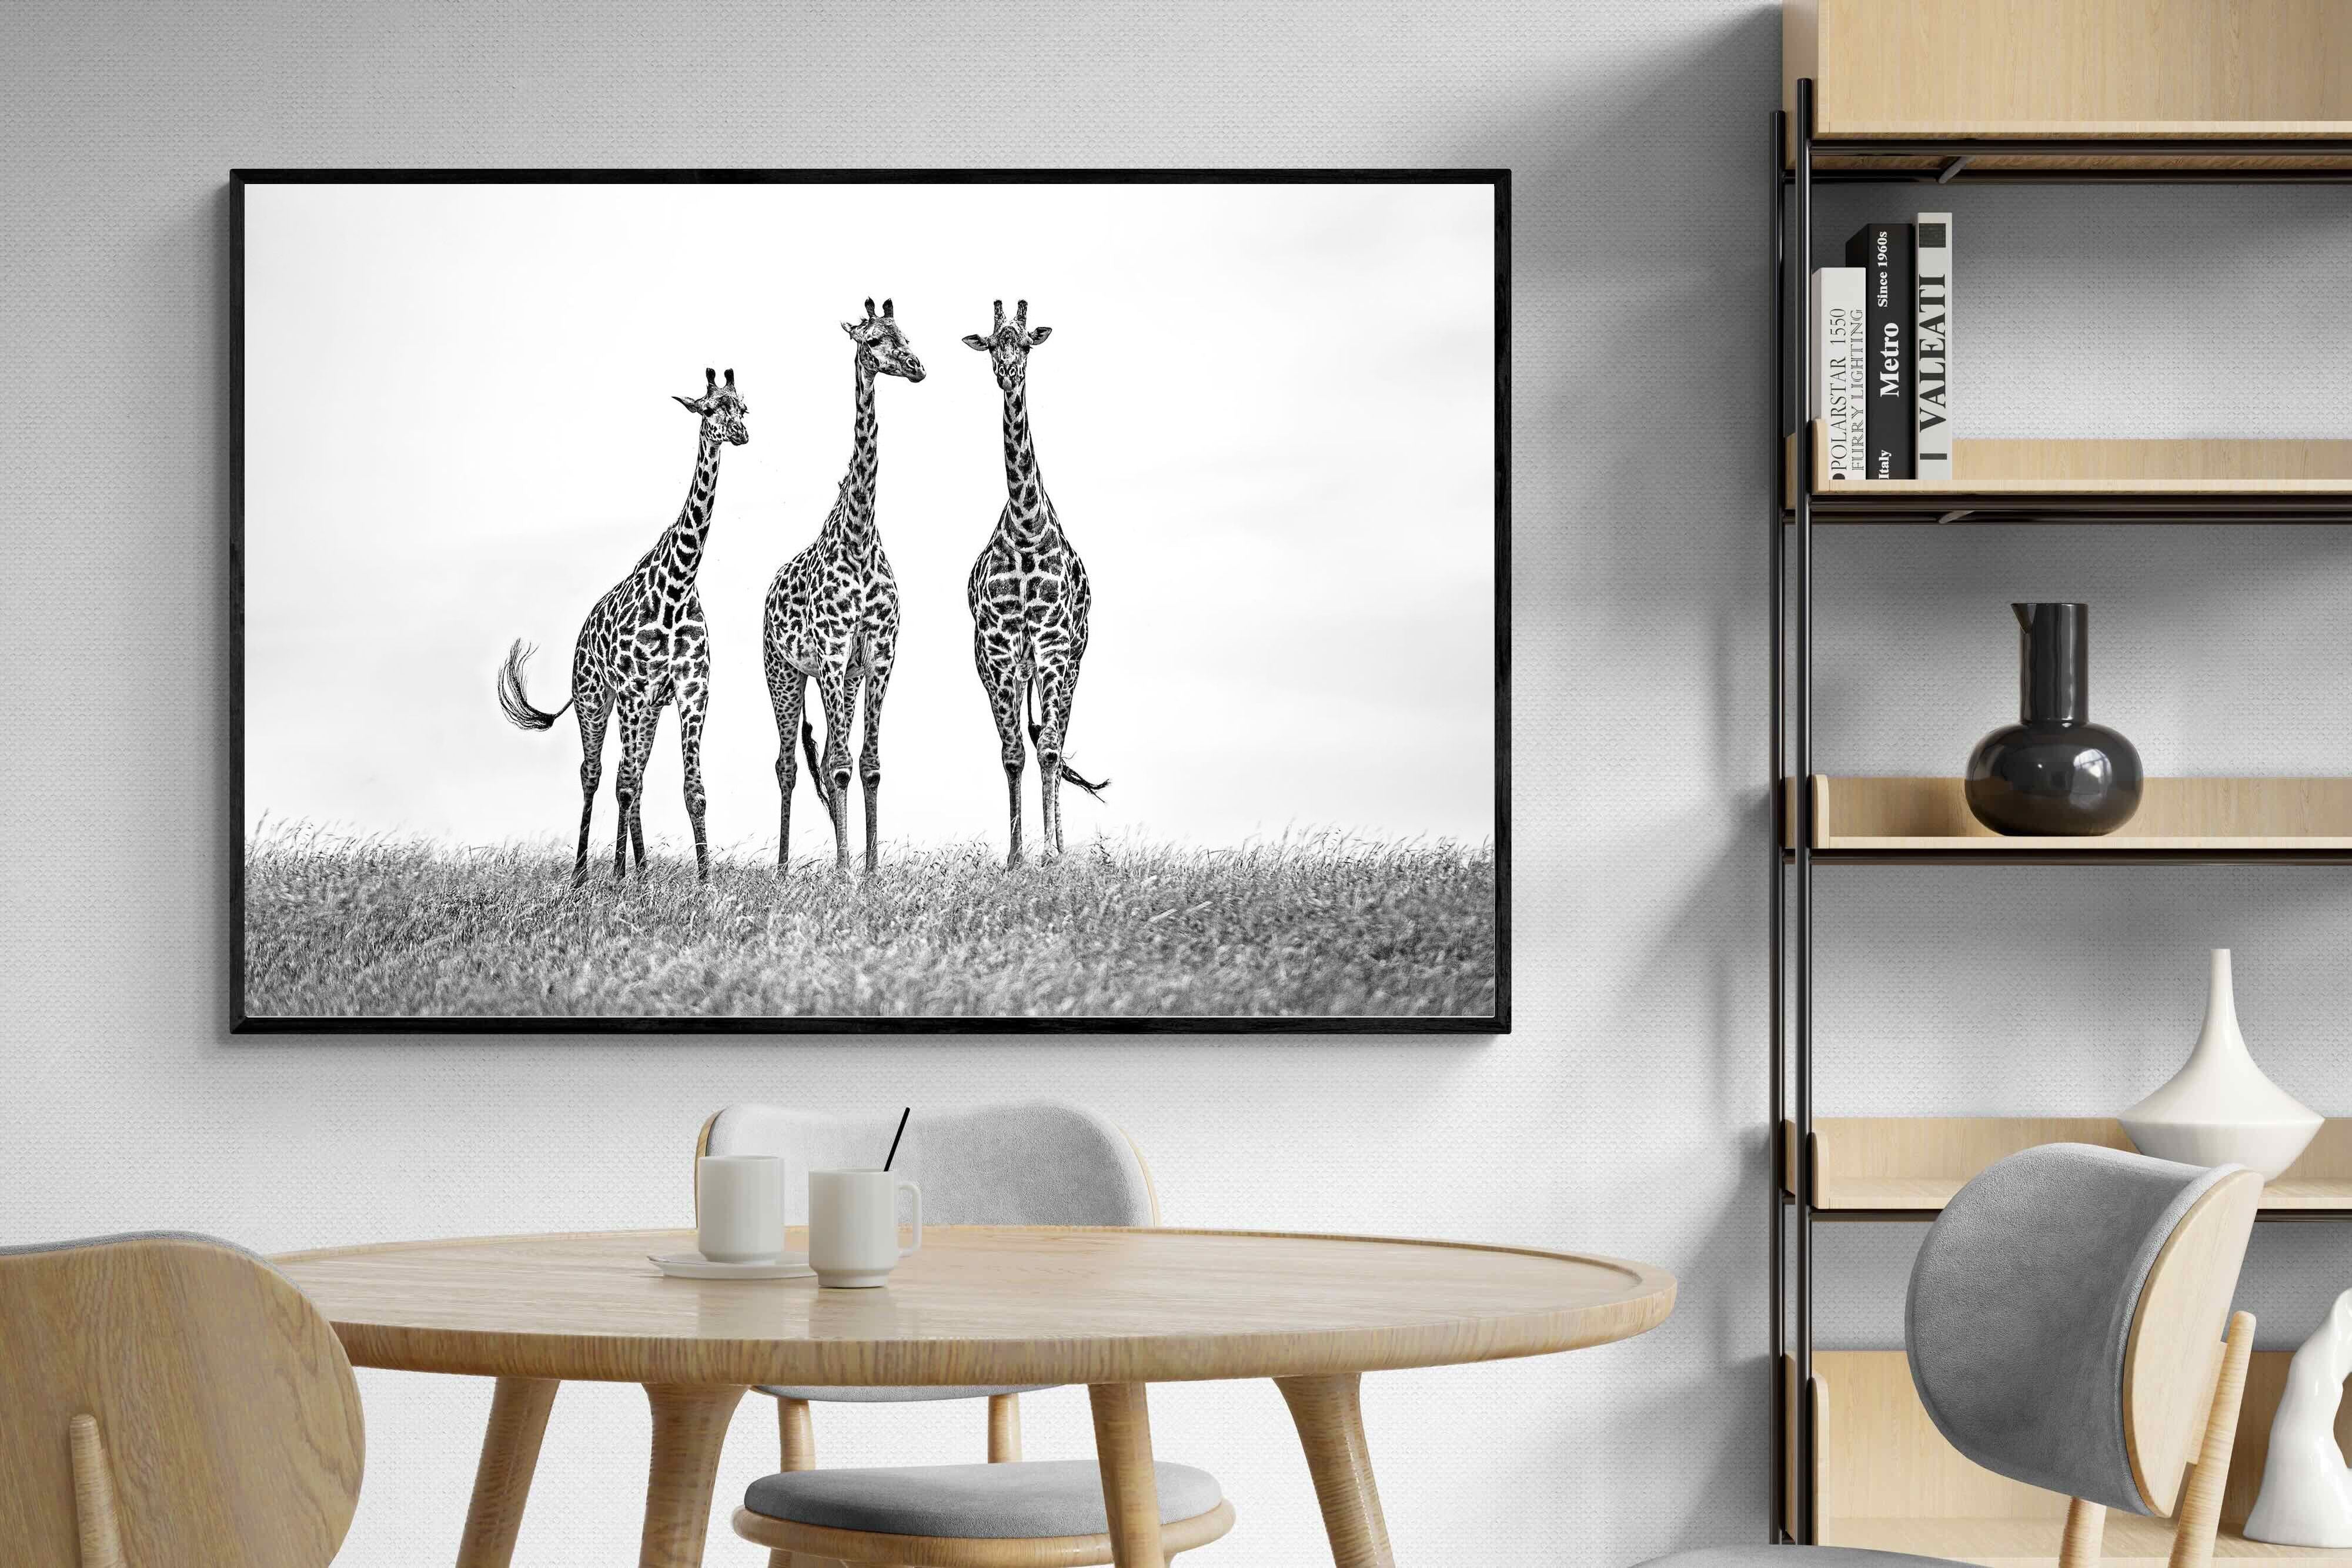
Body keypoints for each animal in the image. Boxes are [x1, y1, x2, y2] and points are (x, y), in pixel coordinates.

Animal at [496, 367, 749, 886]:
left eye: (744, 407)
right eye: (710, 408)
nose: (740, 434)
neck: (678, 584)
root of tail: (581, 635)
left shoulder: (691, 690)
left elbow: (693, 789)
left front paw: (705, 882)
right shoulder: (633, 691)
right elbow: (624, 782)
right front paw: (622, 878)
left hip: (646, 709)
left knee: (631, 776)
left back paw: (636, 869)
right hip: (595, 699)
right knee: (596, 774)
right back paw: (583, 874)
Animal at [763, 298, 926, 874]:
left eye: (906, 334)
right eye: (873, 341)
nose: (918, 367)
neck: (858, 538)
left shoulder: (877, 655)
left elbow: (869, 762)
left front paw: (871, 868)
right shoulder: (832, 653)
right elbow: (836, 763)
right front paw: (843, 870)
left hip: (843, 680)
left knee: (833, 754)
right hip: (784, 673)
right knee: (788, 763)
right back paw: (785, 867)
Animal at [962, 299, 1107, 867]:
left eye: (1024, 344)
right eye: (989, 343)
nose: (1008, 373)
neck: (1026, 528)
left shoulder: (1053, 646)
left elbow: (1048, 749)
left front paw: (1050, 854)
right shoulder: (1000, 652)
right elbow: (1013, 754)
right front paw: (1016, 855)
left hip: (1072, 663)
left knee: (1056, 740)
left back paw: (1061, 845)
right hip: (1011, 670)